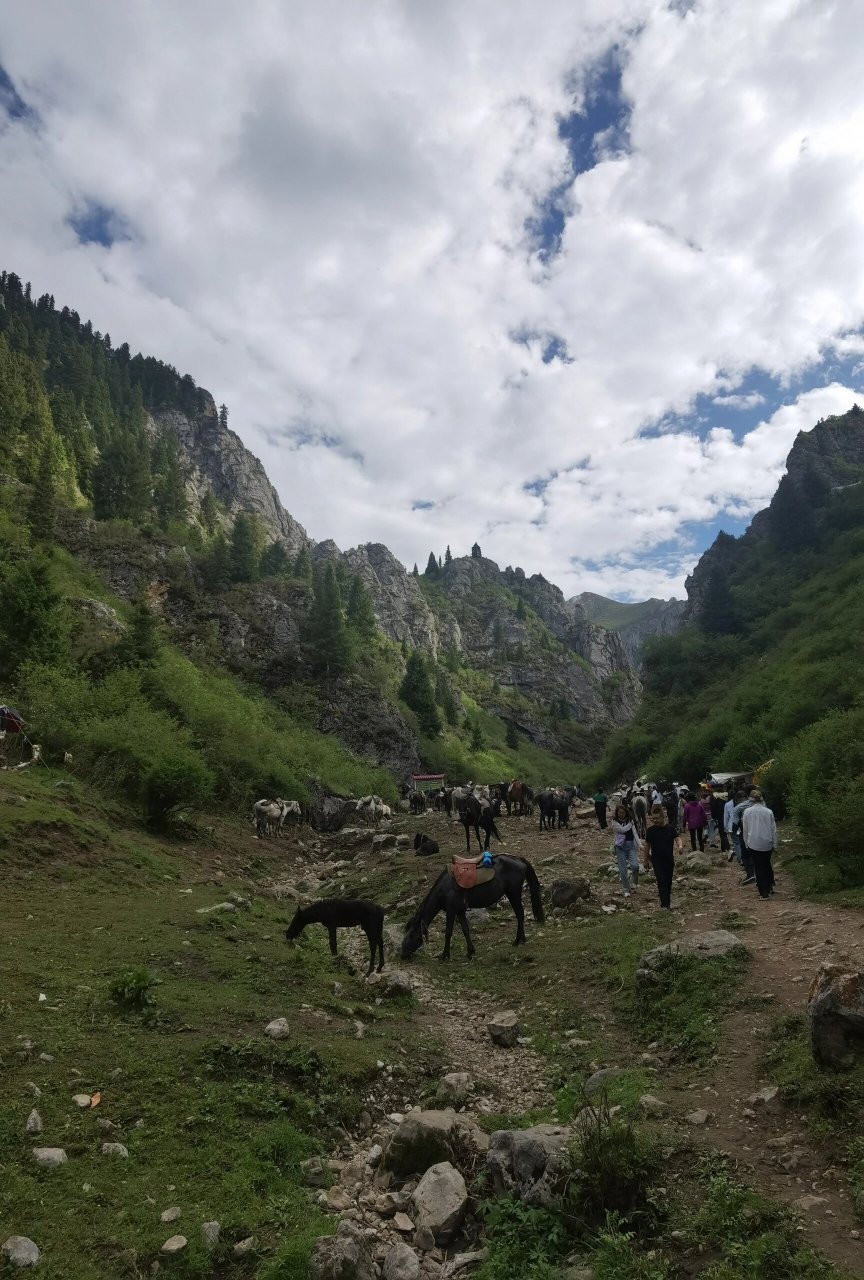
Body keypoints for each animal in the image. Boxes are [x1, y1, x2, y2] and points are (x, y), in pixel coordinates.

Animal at [401, 860, 545, 962]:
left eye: (411, 934)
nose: (402, 954)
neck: (445, 889)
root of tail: (519, 860)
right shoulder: (459, 911)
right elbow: (465, 930)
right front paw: (470, 952)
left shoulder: (450, 911)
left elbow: (448, 933)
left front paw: (444, 955)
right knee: (519, 914)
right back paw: (520, 940)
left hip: (513, 893)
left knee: (520, 914)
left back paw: (518, 941)